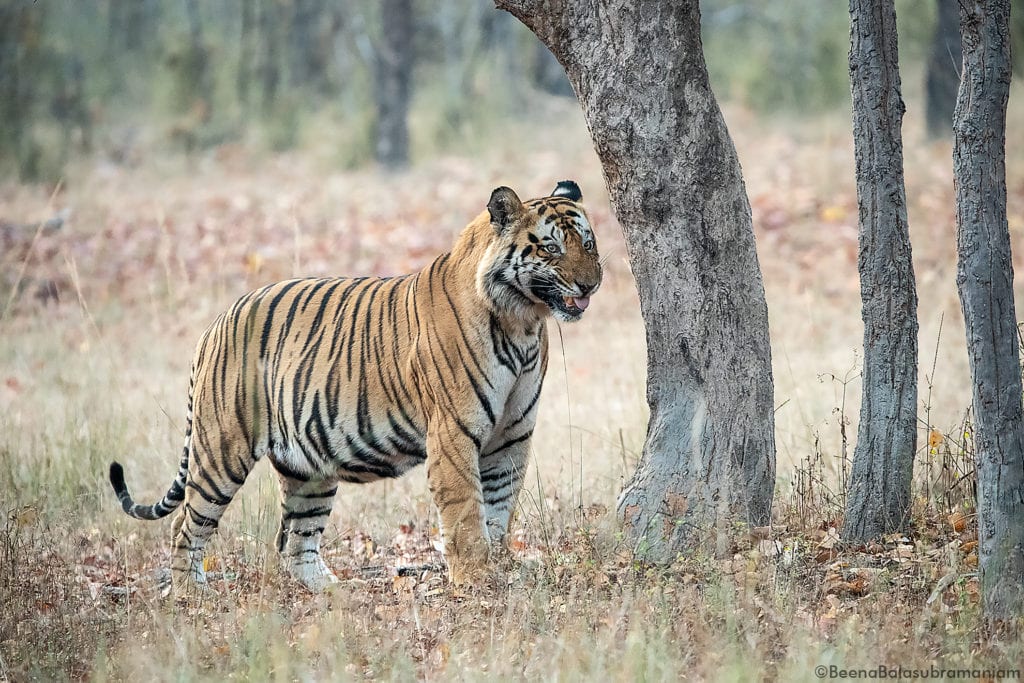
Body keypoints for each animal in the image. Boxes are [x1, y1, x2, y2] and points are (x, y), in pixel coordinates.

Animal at [108, 181, 598, 593]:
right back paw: (191, 593)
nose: (592, 283)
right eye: (551, 248)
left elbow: (498, 506)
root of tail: (216, 322)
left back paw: (333, 592)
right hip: (221, 451)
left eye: (588, 243)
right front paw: (477, 579)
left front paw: (500, 566)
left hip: (308, 468)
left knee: (295, 541)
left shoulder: (511, 436)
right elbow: (465, 511)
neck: (523, 322)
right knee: (185, 527)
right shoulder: (454, 433)